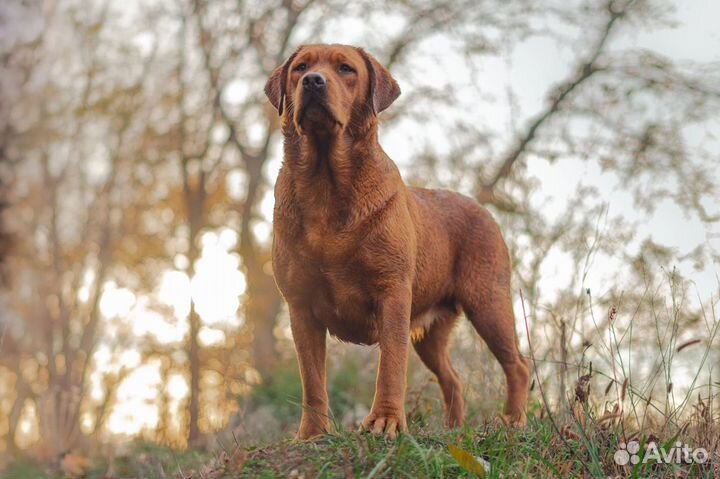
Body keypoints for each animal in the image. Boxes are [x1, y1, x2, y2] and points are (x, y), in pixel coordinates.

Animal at [264, 44, 528, 438]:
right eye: (300, 68)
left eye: (346, 69)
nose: (313, 81)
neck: (326, 185)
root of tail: (482, 209)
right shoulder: (301, 305)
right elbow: (312, 380)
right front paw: (312, 434)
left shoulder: (392, 293)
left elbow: (390, 365)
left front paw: (385, 421)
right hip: (432, 334)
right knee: (453, 379)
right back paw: (453, 430)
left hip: (488, 303)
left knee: (517, 366)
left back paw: (514, 421)